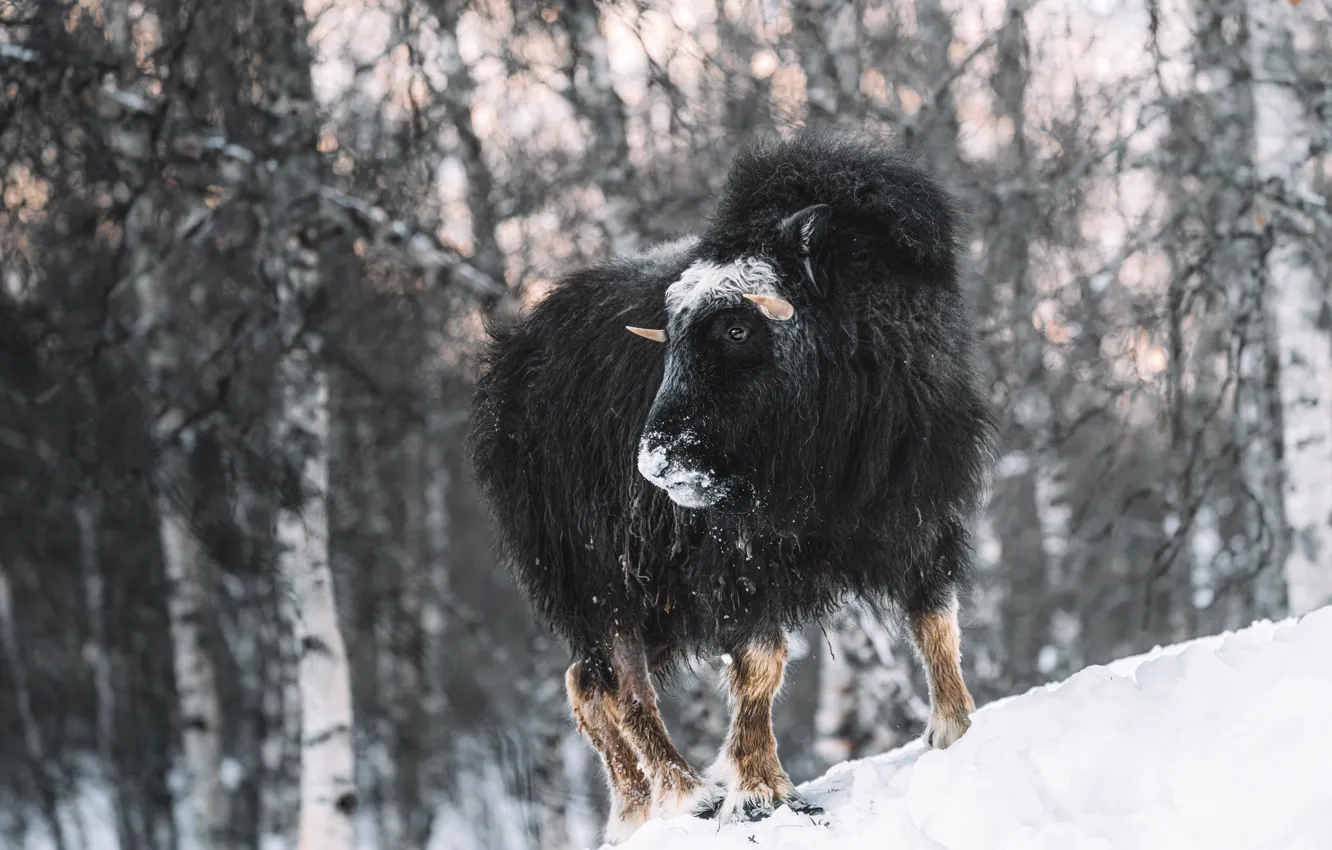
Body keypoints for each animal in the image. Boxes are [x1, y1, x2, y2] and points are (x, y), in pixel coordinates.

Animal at [467, 128, 996, 843]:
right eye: (670, 338)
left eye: (738, 328)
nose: (657, 465)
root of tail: (512, 367)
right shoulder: (738, 560)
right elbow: (759, 664)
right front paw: (759, 790)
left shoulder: (917, 515)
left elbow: (936, 621)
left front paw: (956, 732)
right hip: (597, 579)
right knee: (620, 685)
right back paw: (684, 794)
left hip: (647, 602)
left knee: (589, 682)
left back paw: (634, 814)